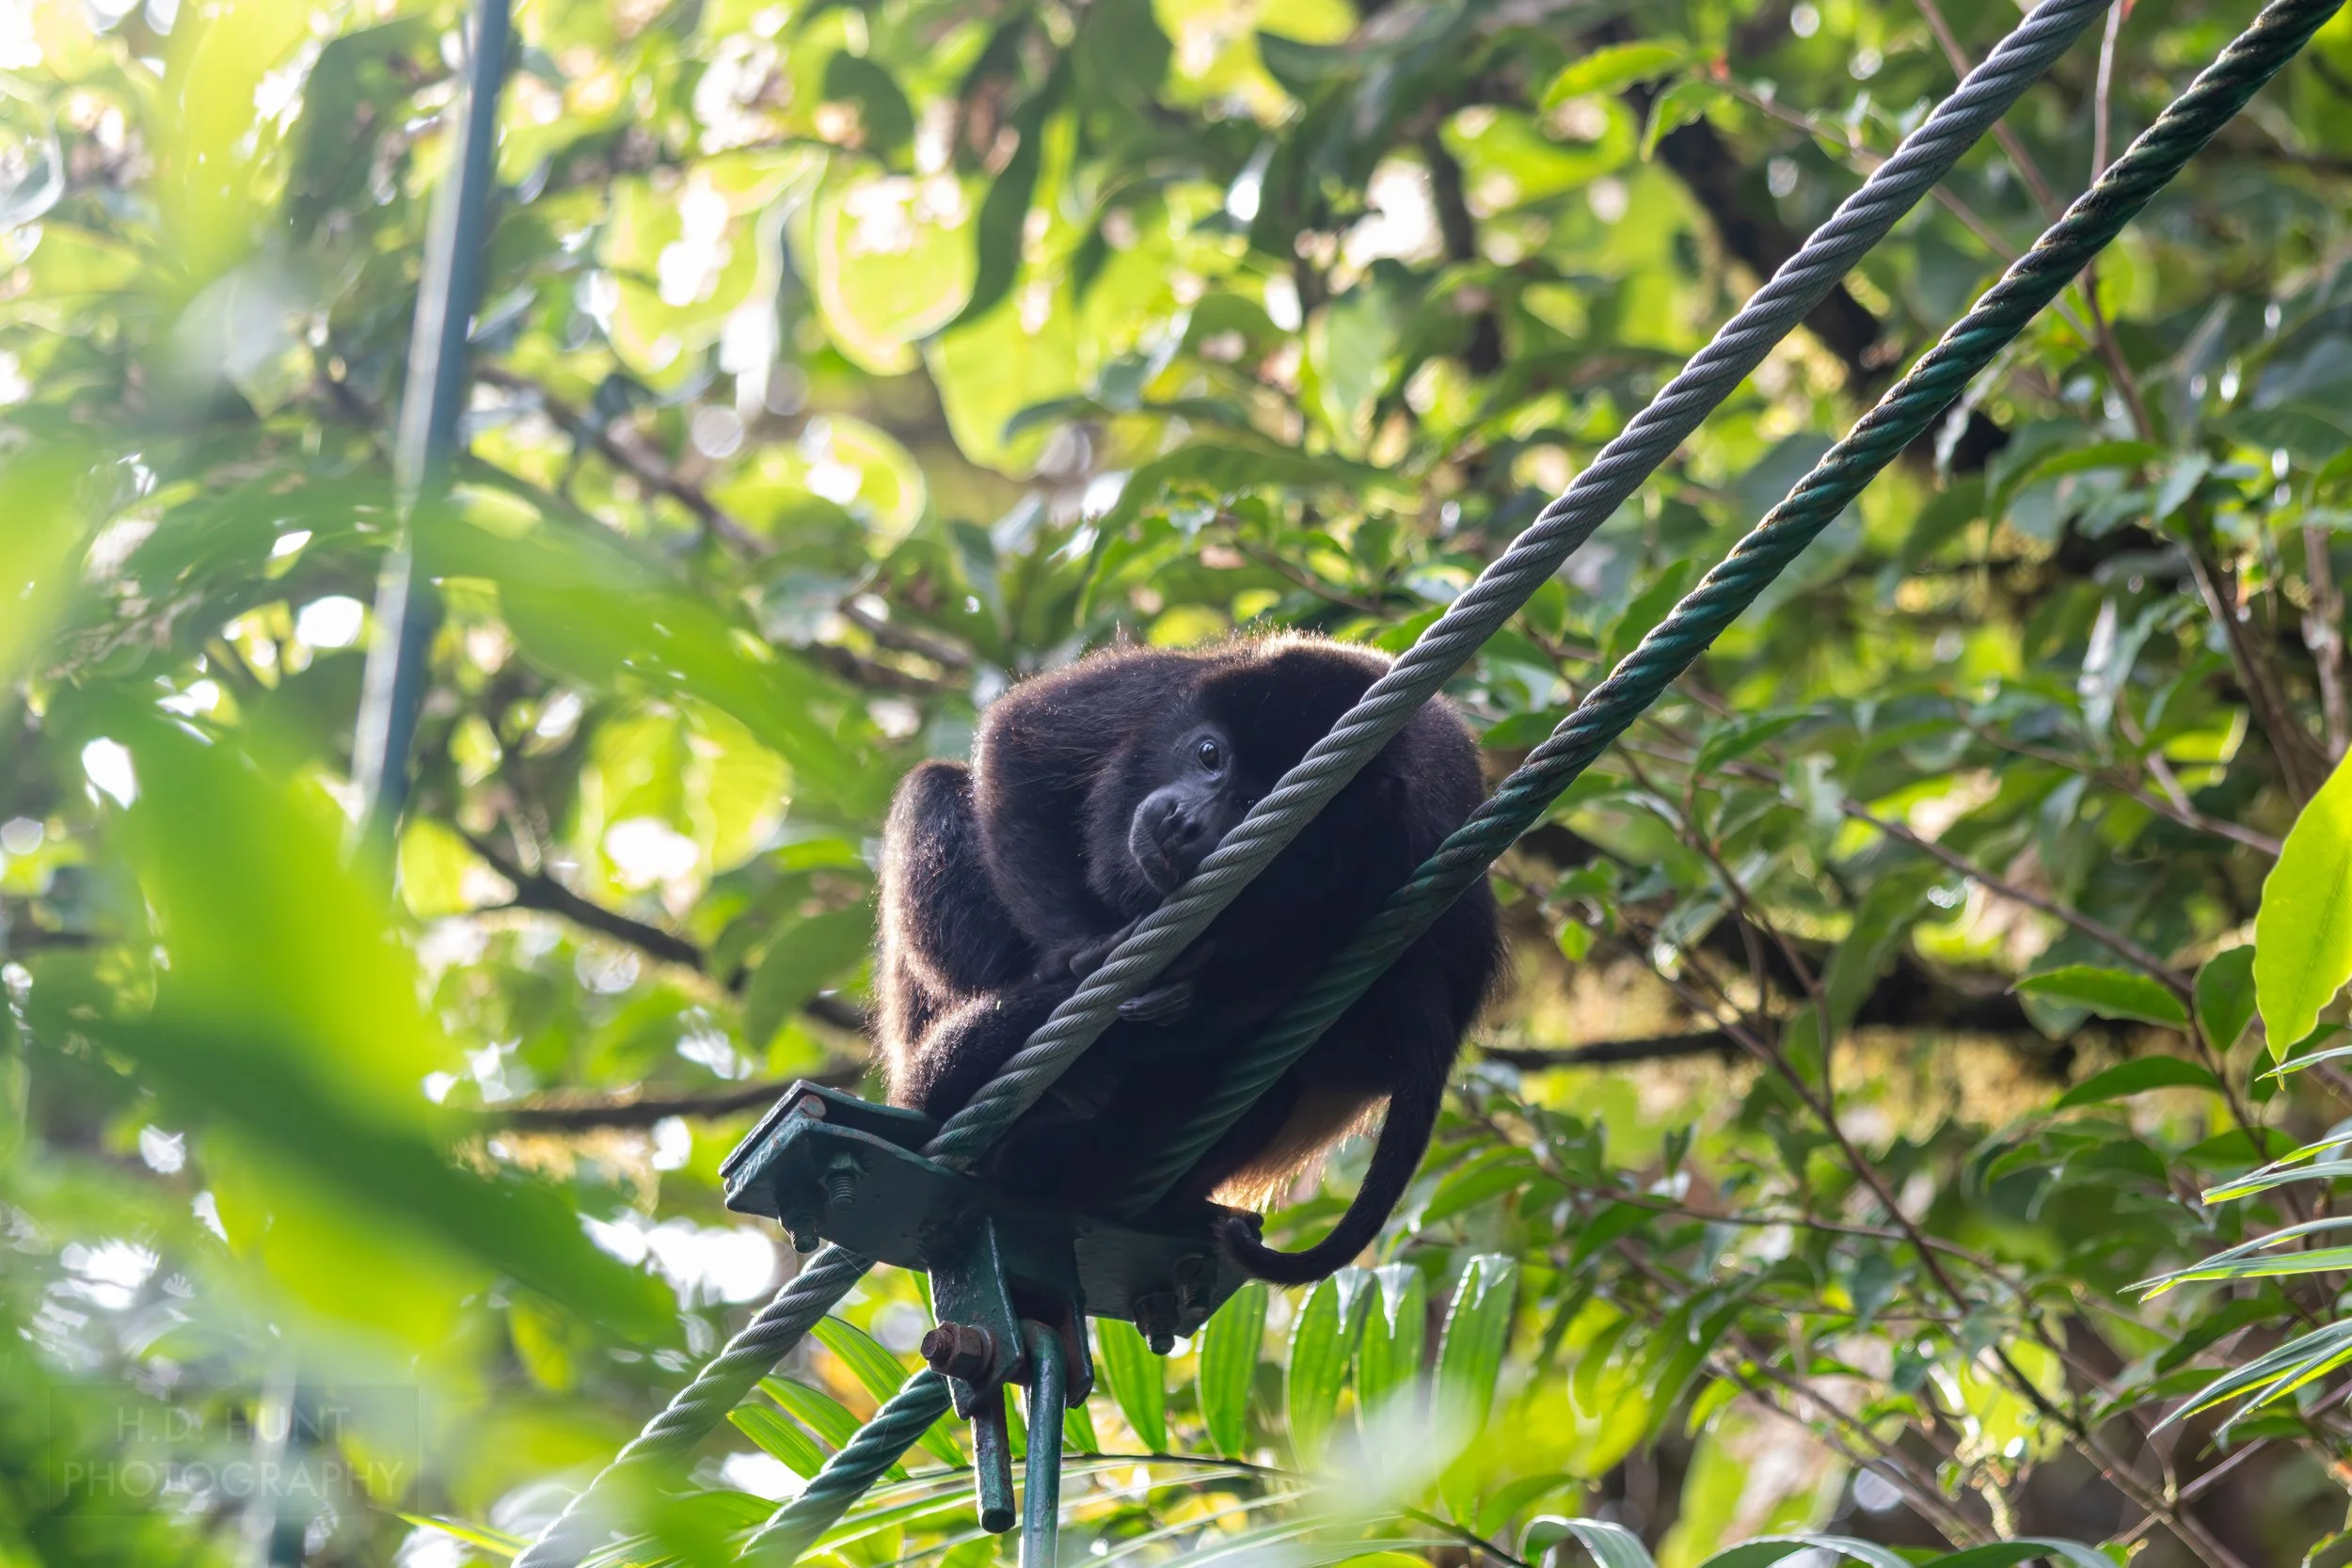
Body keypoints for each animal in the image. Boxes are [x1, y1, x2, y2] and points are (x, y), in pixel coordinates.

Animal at [875, 633, 1502, 1285]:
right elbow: (1020, 742)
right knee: (934, 789)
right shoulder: (1152, 690)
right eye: (1208, 755)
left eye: (1252, 801)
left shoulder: (1379, 865)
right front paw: (1078, 954)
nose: (1184, 821)